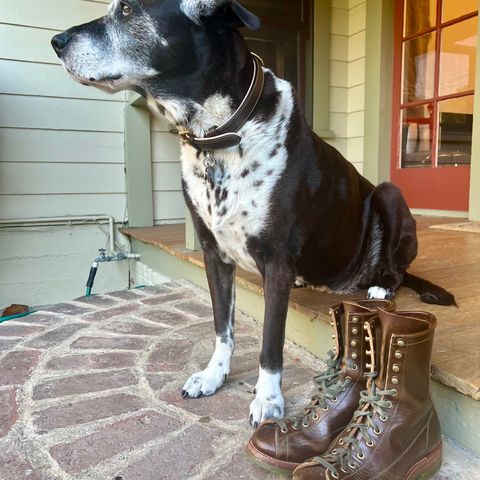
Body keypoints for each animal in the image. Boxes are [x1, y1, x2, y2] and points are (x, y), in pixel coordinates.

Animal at [52, 0, 454, 428]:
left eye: (128, 10)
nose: (56, 41)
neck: (219, 134)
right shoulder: (214, 254)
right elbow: (222, 328)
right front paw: (213, 376)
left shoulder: (276, 261)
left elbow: (270, 342)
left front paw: (268, 398)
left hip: (389, 194)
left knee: (396, 269)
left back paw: (381, 287)